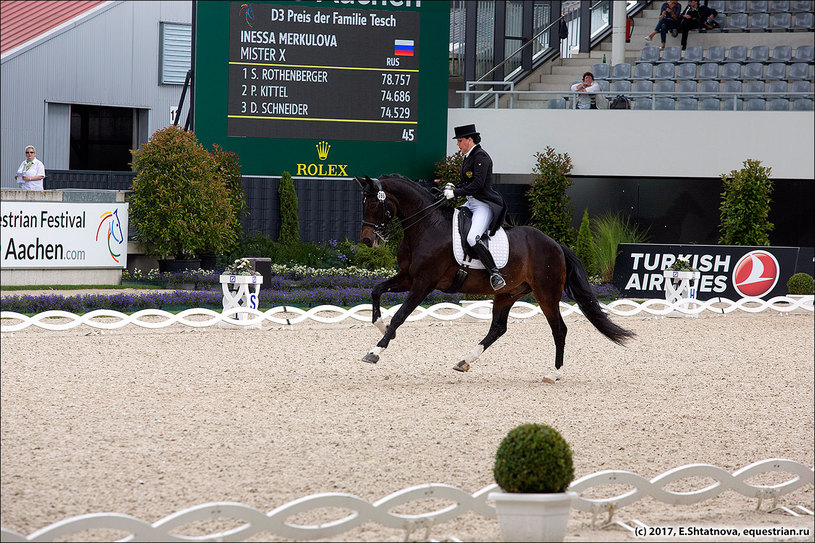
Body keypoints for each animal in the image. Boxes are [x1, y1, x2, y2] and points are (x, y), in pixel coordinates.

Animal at [354, 174, 636, 382]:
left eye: (374, 203)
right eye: (363, 202)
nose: (367, 240)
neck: (426, 226)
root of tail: (555, 244)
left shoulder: (423, 283)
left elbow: (401, 315)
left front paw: (375, 351)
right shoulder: (407, 278)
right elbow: (376, 291)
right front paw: (383, 328)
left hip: (546, 293)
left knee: (559, 329)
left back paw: (553, 374)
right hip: (507, 293)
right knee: (498, 328)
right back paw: (465, 361)